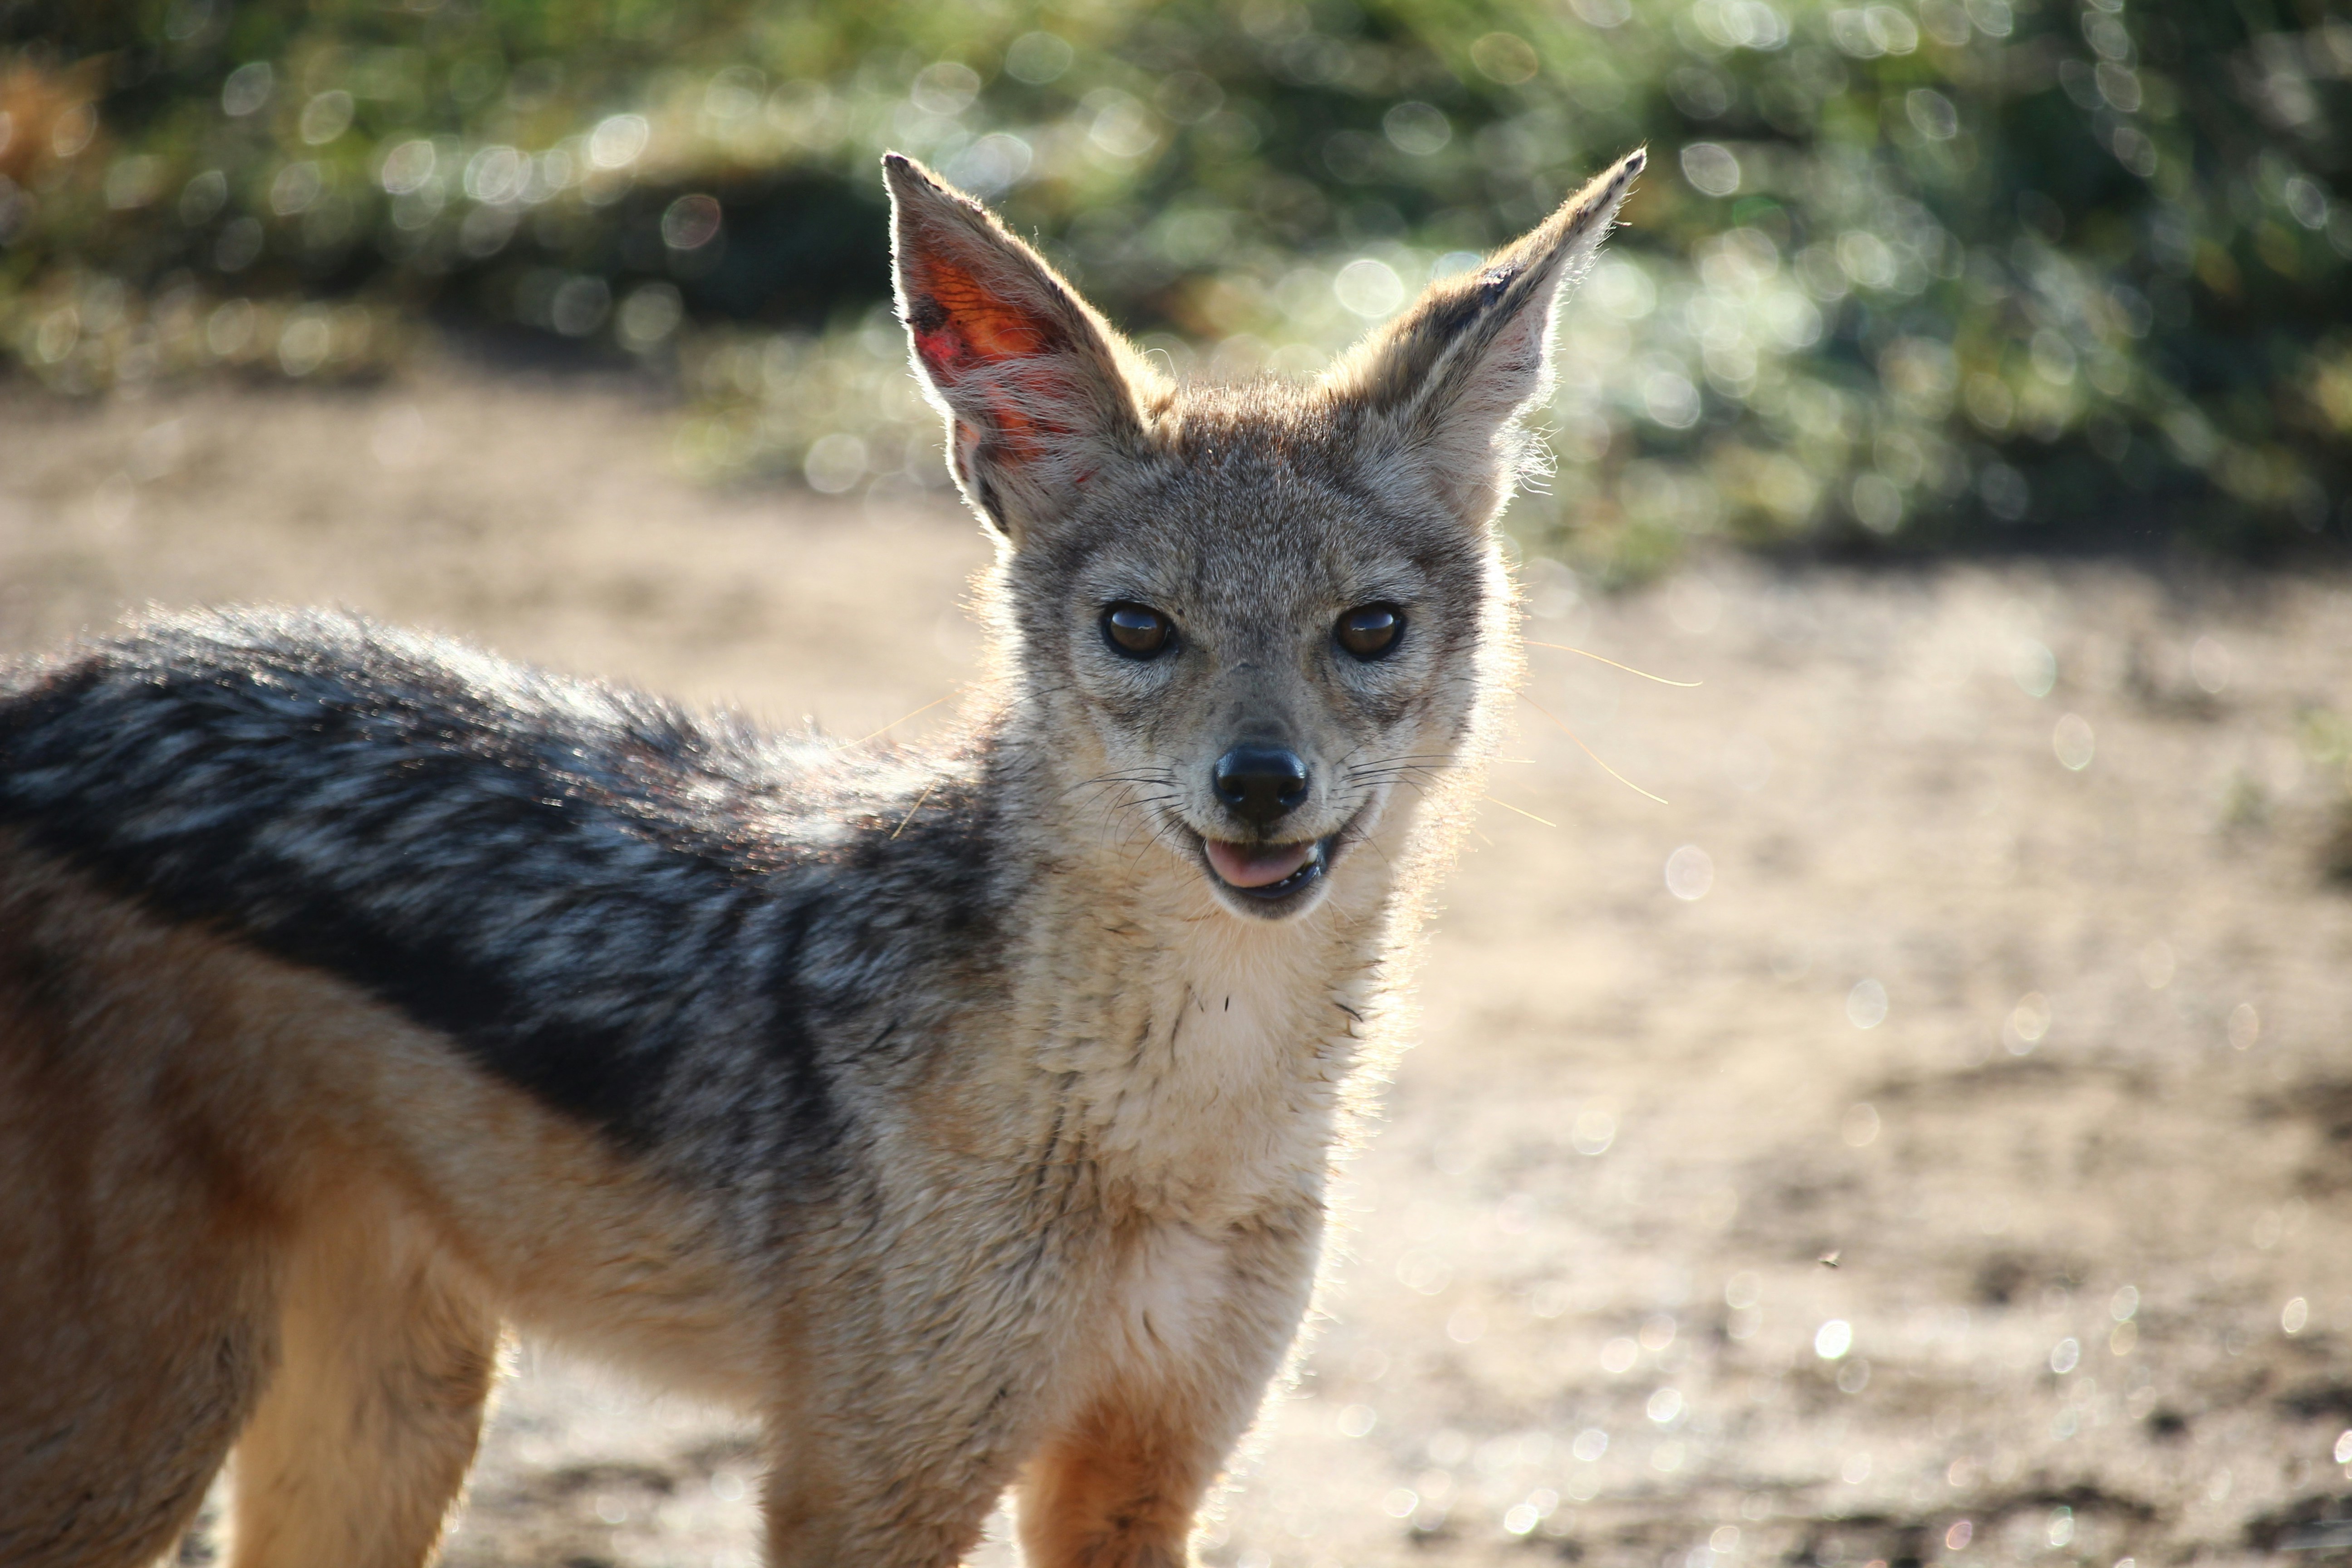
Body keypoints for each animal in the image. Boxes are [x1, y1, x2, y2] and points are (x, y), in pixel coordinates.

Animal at [0, 146, 1643, 1568]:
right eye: (1138, 628)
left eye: (1366, 630)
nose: (1259, 786)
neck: (1179, 1127)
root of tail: (54, 689)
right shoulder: (864, 1489)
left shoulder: (1138, 1478)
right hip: (151, 1433)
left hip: (391, 1411)